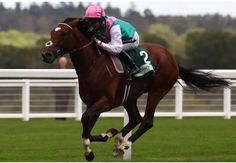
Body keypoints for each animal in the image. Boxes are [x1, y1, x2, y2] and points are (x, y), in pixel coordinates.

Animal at [41, 18, 230, 161]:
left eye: (63, 33)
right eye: (51, 32)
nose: (46, 54)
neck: (94, 66)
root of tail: (173, 59)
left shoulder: (106, 101)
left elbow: (85, 119)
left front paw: (100, 141)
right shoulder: (92, 103)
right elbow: (86, 125)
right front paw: (100, 141)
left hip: (157, 90)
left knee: (146, 121)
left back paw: (124, 144)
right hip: (129, 97)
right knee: (135, 118)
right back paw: (118, 139)